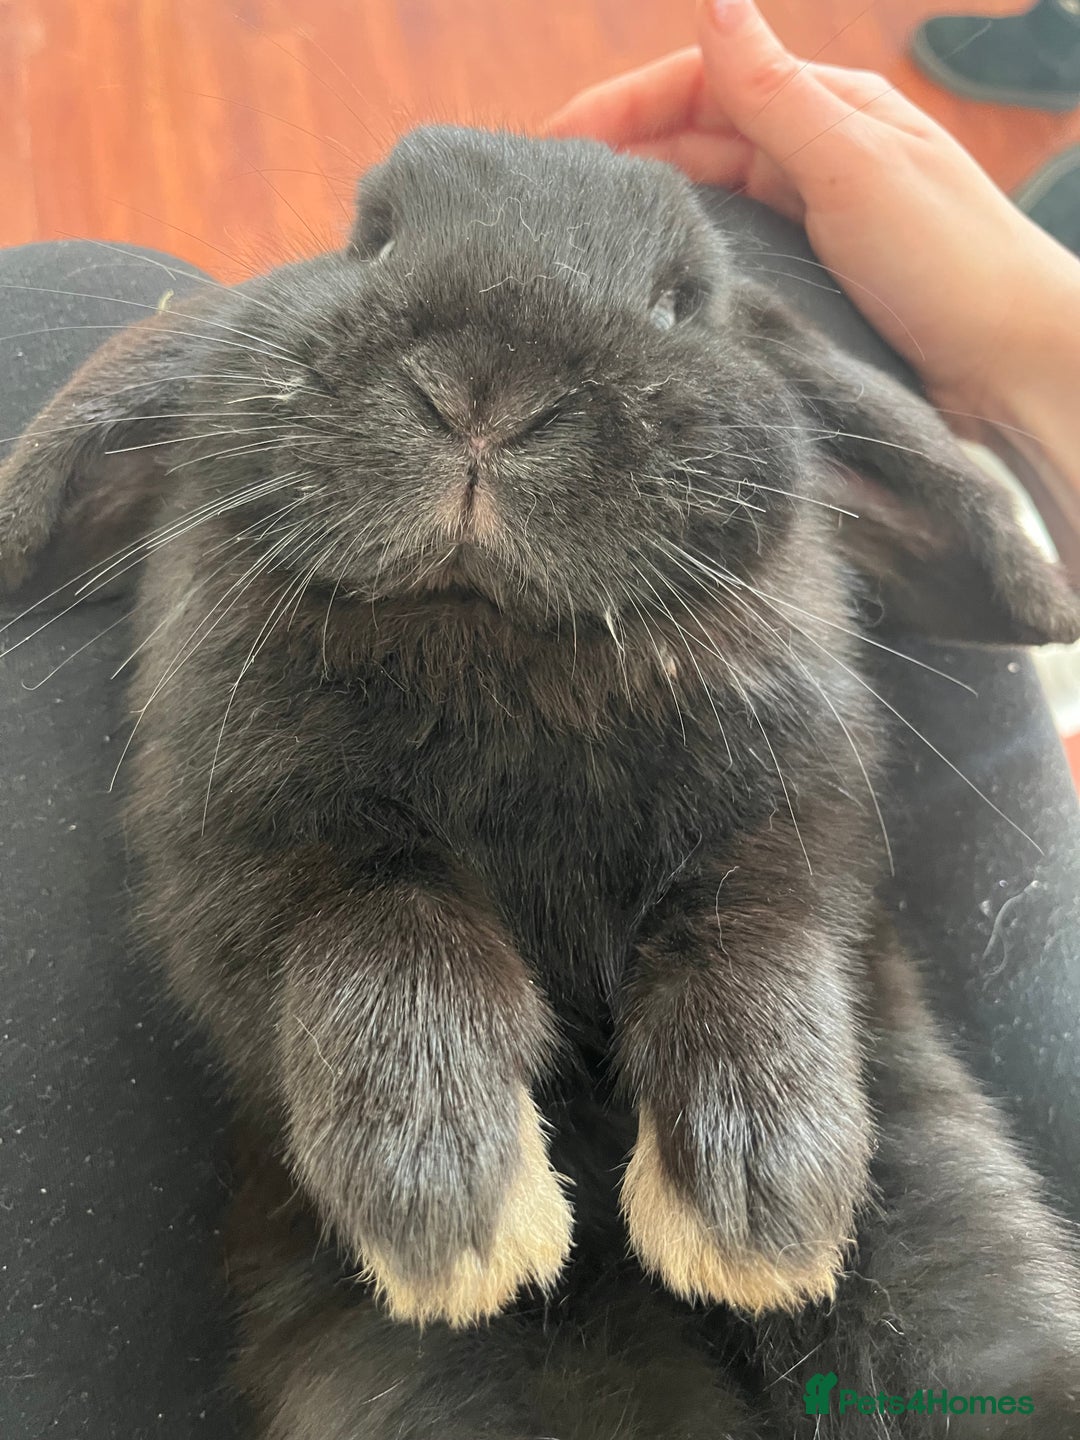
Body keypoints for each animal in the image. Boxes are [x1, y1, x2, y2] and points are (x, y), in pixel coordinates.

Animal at [2, 127, 1079, 1431]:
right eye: (371, 240)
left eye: (683, 302)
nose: (486, 394)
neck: (494, 657)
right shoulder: (235, 863)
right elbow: (381, 933)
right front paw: (456, 1214)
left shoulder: (802, 839)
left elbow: (753, 942)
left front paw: (762, 1217)